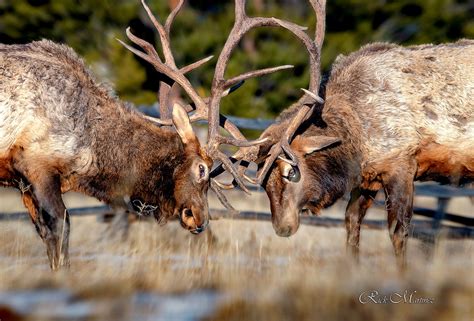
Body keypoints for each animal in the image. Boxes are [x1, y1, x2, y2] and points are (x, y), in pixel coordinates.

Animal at [0, 0, 300, 268]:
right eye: (202, 169)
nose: (200, 220)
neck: (92, 151)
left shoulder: (23, 183)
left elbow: (46, 235)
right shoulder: (37, 163)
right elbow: (61, 229)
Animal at [221, 0, 474, 264]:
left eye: (292, 172)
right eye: (262, 181)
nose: (282, 228)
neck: (357, 139)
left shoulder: (401, 162)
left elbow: (398, 230)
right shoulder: (367, 178)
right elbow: (351, 224)